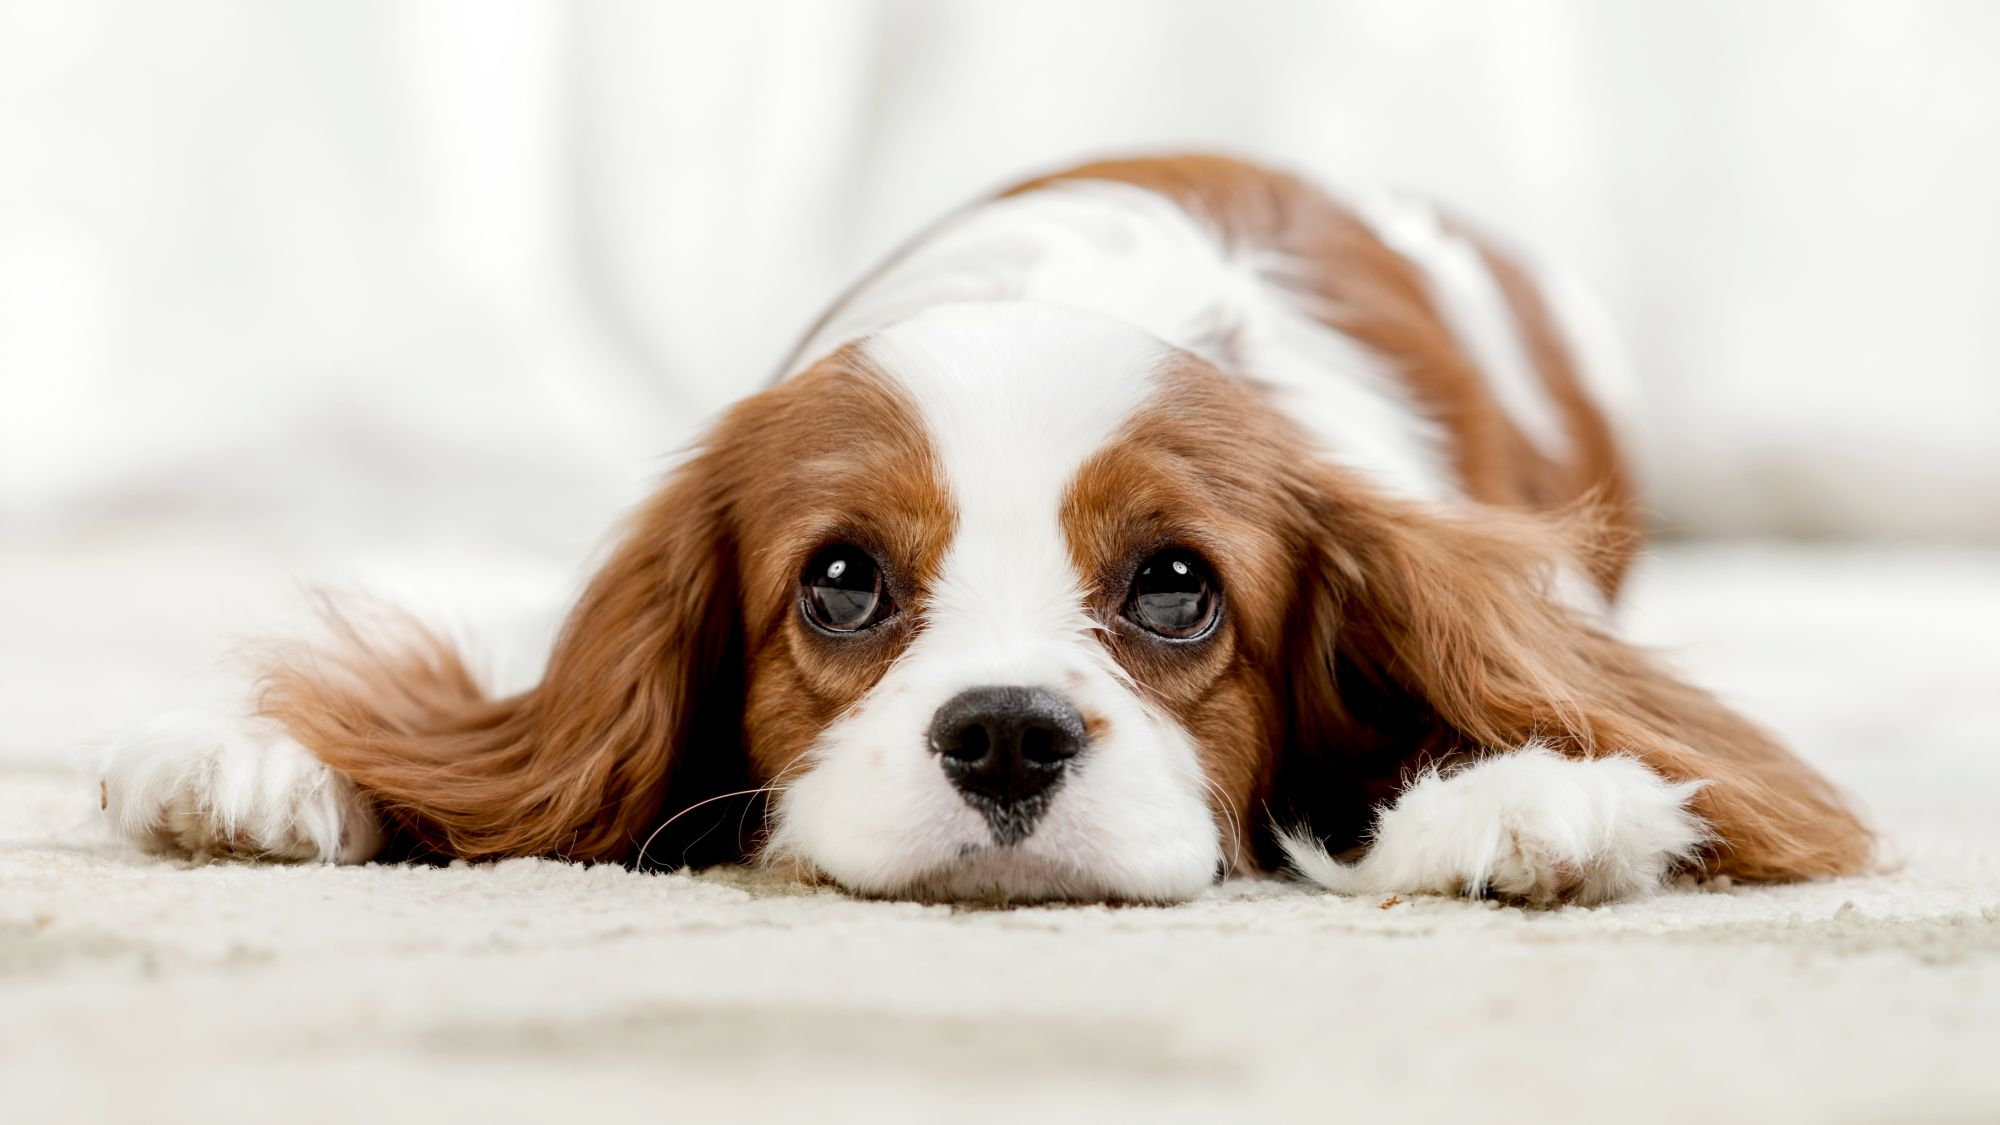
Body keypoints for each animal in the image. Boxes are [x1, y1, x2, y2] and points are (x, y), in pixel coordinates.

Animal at [97, 153, 1872, 900]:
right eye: (839, 580)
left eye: (1175, 587)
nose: (1009, 734)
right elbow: (497, 739)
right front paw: (275, 768)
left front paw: (1536, 797)